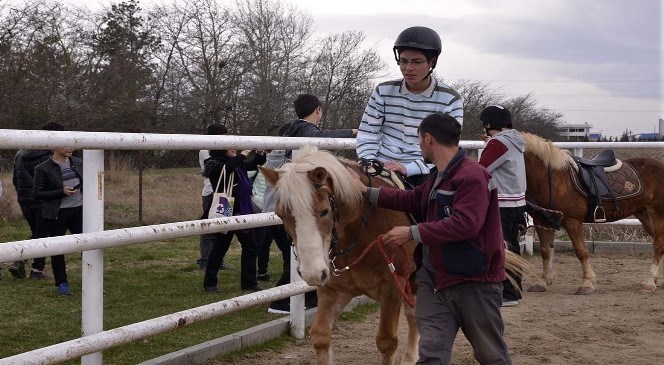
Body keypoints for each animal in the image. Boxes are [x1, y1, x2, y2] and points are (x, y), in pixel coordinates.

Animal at [520, 132, 664, 294]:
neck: (552, 177)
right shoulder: (542, 221)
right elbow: (546, 251)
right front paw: (543, 281)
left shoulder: (572, 221)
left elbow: (581, 251)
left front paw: (587, 283)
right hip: (644, 215)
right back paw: (658, 280)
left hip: (657, 214)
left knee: (658, 245)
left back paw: (649, 283)